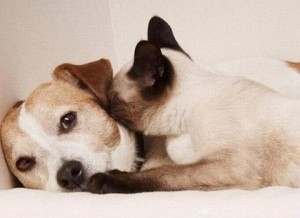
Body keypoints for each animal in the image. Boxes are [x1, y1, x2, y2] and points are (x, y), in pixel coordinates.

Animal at [85, 16, 300, 194]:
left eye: (112, 99)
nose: (106, 107)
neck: (179, 129)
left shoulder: (229, 166)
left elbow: (164, 173)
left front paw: (105, 179)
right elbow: (163, 168)